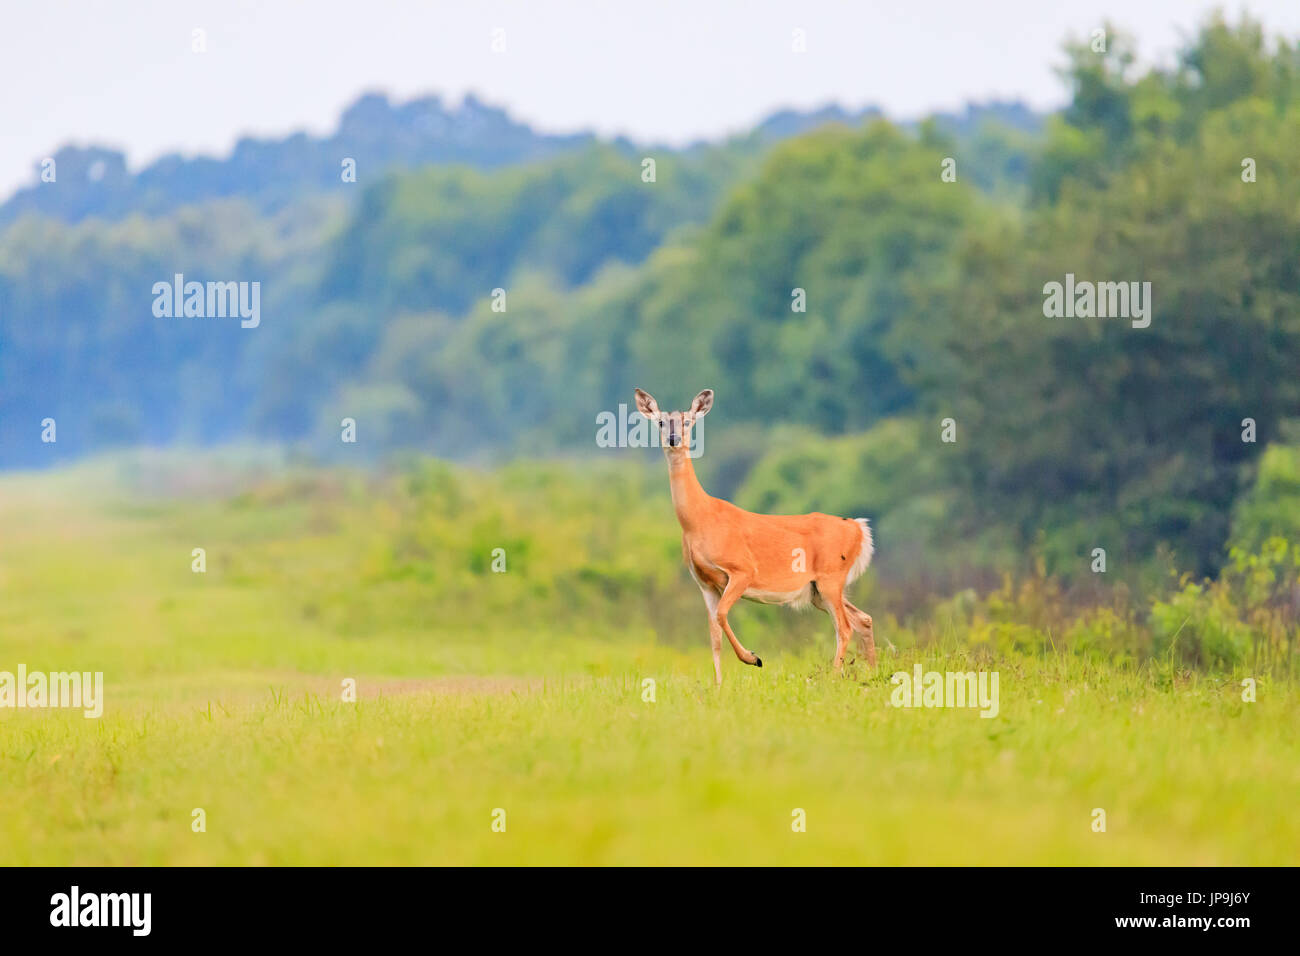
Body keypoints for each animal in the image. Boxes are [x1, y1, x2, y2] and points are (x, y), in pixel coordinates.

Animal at [631, 385, 878, 686]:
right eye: (661, 422)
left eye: (687, 421)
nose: (673, 438)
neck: (700, 520)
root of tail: (858, 528)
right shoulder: (703, 582)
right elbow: (713, 634)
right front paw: (719, 685)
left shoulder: (742, 570)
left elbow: (722, 615)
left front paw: (753, 658)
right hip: (817, 590)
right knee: (862, 619)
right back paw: (872, 673)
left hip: (831, 577)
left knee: (844, 626)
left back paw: (833, 677)